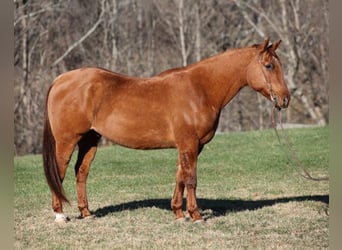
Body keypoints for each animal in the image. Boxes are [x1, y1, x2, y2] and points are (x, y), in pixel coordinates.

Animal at [42, 38, 288, 223]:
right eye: (269, 66)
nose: (285, 99)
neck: (200, 88)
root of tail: (60, 80)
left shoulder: (191, 145)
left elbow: (180, 176)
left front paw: (179, 213)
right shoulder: (189, 143)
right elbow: (191, 179)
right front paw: (196, 216)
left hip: (89, 140)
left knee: (81, 172)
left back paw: (86, 213)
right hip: (67, 141)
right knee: (59, 172)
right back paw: (60, 215)